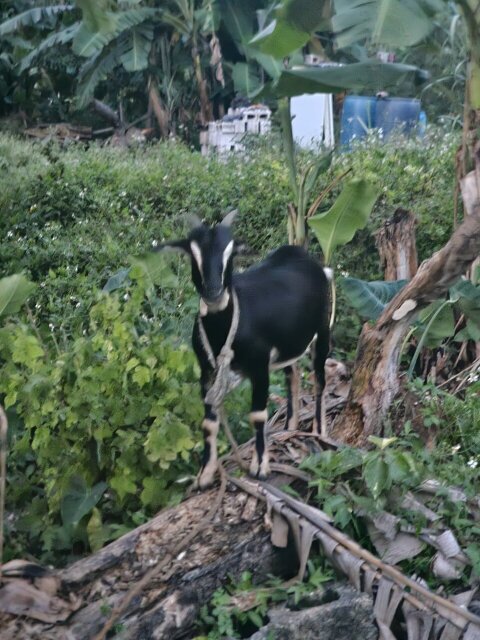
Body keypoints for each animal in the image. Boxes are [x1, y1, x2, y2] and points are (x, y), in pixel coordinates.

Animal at [157, 211, 330, 488]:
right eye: (193, 253)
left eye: (230, 252)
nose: (213, 291)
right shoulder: (206, 371)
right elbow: (208, 424)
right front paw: (205, 474)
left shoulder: (259, 366)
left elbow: (257, 415)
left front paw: (260, 468)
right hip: (288, 345)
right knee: (292, 375)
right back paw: (289, 427)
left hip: (323, 331)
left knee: (320, 379)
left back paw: (319, 431)